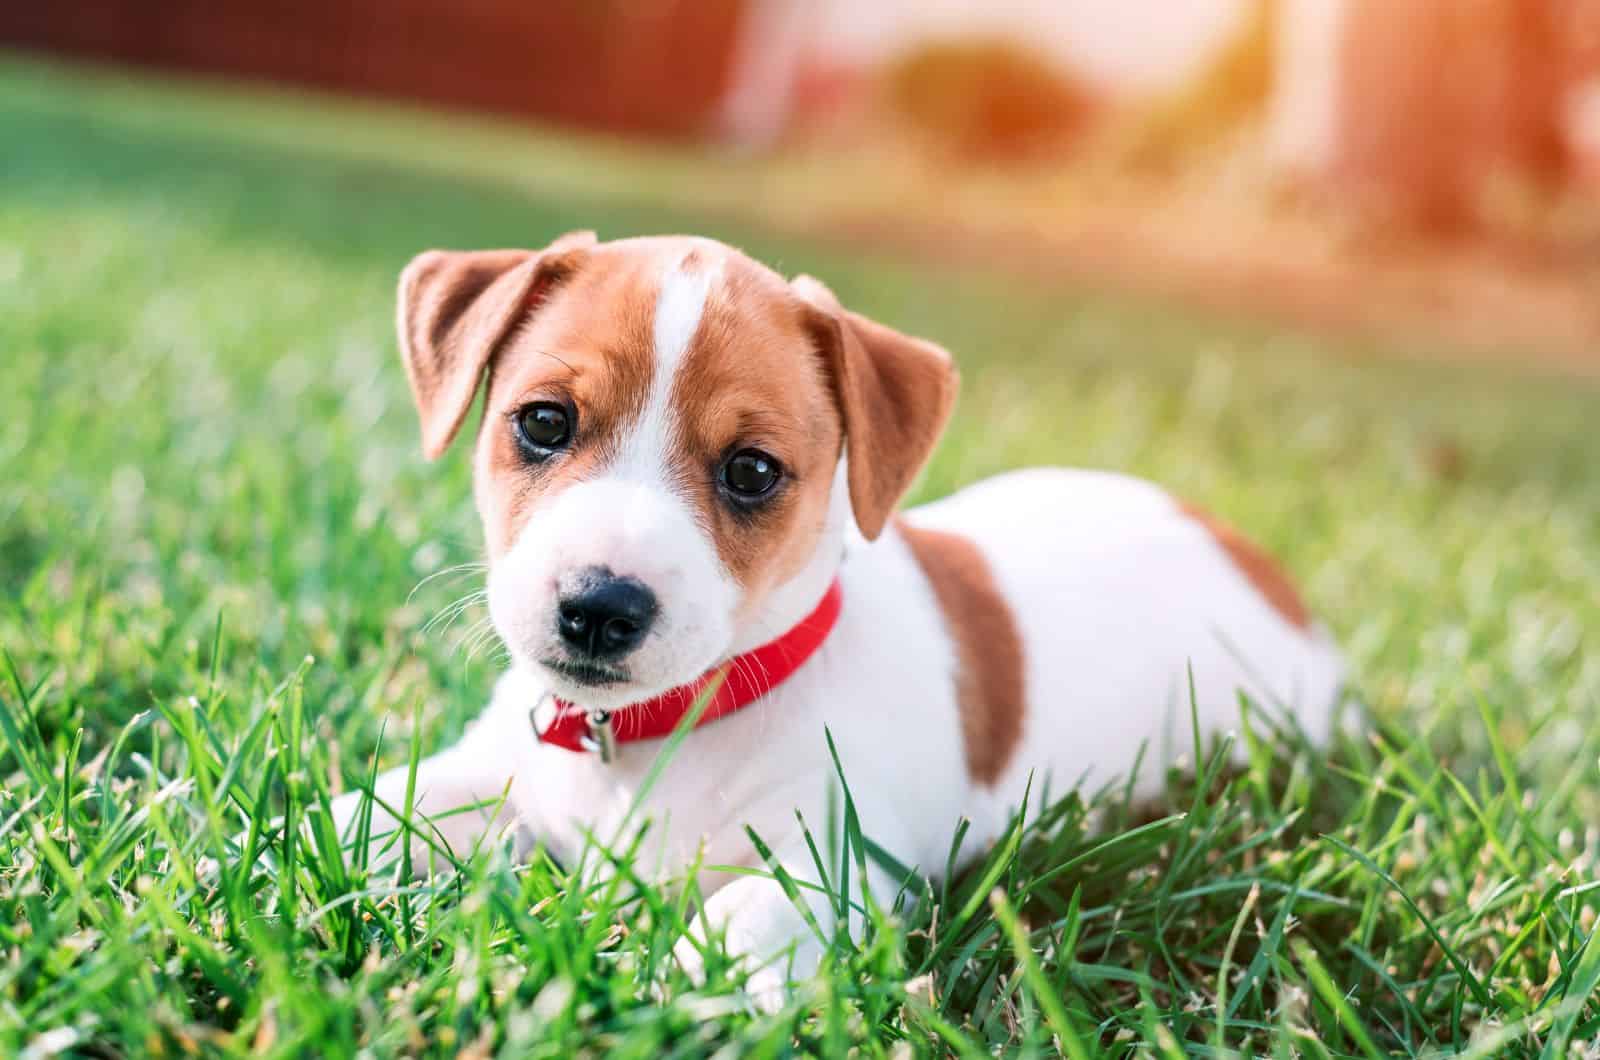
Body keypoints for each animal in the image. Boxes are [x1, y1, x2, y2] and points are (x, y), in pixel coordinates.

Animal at [334, 235, 1337, 1005]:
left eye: (751, 471)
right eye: (543, 421)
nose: (597, 607)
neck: (657, 732)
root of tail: (1255, 561)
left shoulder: (836, 855)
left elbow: (738, 925)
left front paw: (668, 995)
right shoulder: (493, 770)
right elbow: (376, 811)